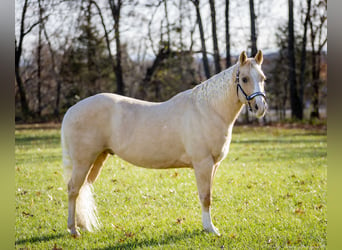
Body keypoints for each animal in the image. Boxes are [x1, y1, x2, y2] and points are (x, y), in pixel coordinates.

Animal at [62, 49, 268, 237]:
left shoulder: (214, 165)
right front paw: (211, 229)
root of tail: (72, 110)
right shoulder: (203, 163)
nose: (260, 107)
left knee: (82, 188)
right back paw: (73, 230)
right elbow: (205, 197)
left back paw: (82, 226)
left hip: (97, 159)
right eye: (244, 79)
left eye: (263, 78)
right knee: (73, 189)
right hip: (83, 161)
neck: (207, 110)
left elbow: (208, 195)